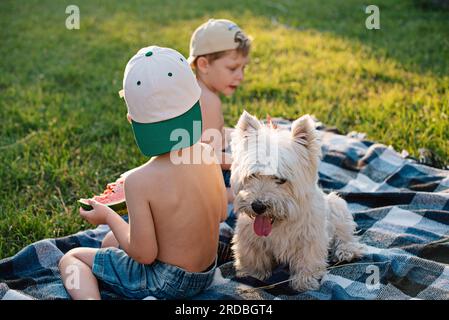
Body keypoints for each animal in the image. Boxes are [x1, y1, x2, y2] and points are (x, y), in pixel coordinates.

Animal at [229, 111, 362, 292]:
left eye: (280, 179)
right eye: (252, 175)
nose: (258, 206)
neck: (279, 222)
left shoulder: (310, 238)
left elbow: (308, 260)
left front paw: (304, 282)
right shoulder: (249, 238)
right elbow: (253, 257)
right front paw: (252, 275)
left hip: (337, 206)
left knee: (345, 234)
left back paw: (346, 251)